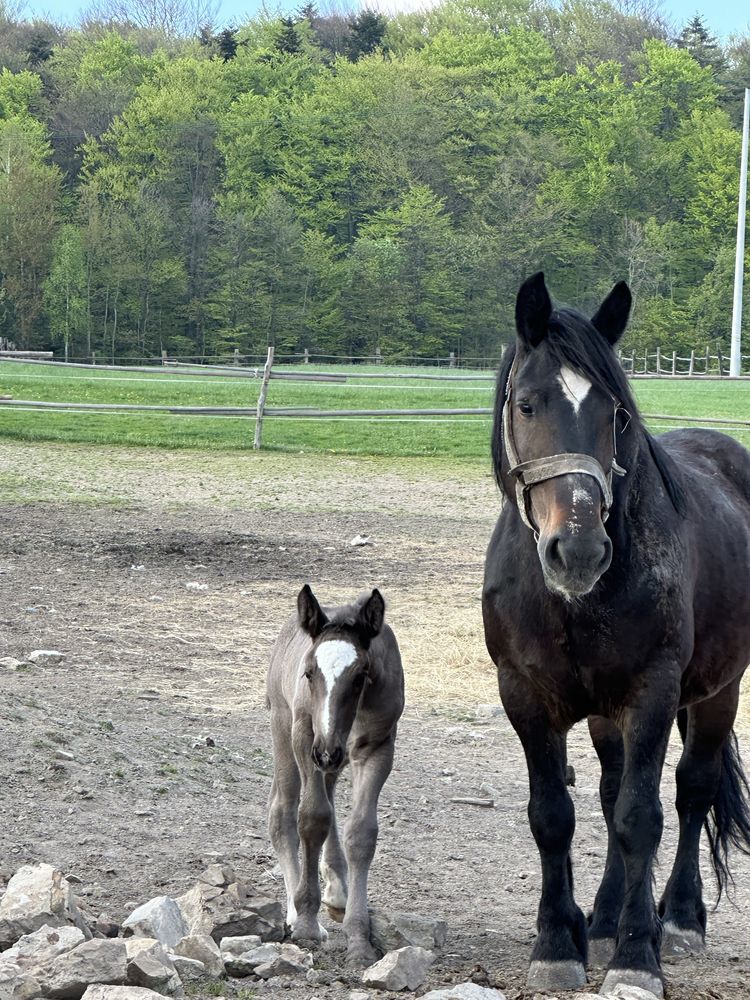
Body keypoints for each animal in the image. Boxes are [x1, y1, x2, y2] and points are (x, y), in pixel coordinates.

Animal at [266, 584, 402, 964]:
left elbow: (362, 833)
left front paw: (359, 939)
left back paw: (338, 892)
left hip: (334, 759)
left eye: (360, 676)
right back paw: (294, 913)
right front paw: (307, 922)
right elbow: (312, 818)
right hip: (286, 731)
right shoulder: (305, 737)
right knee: (283, 812)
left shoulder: (376, 748)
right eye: (309, 672)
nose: (326, 750)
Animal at [482, 270, 750, 996]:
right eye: (526, 404)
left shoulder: (652, 694)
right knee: (607, 793)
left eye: (615, 414)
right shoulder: (523, 696)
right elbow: (555, 816)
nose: (577, 550)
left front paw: (637, 955)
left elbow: (641, 818)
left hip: (720, 691)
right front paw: (559, 941)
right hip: (606, 715)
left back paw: (678, 918)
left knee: (691, 790)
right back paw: (602, 917)